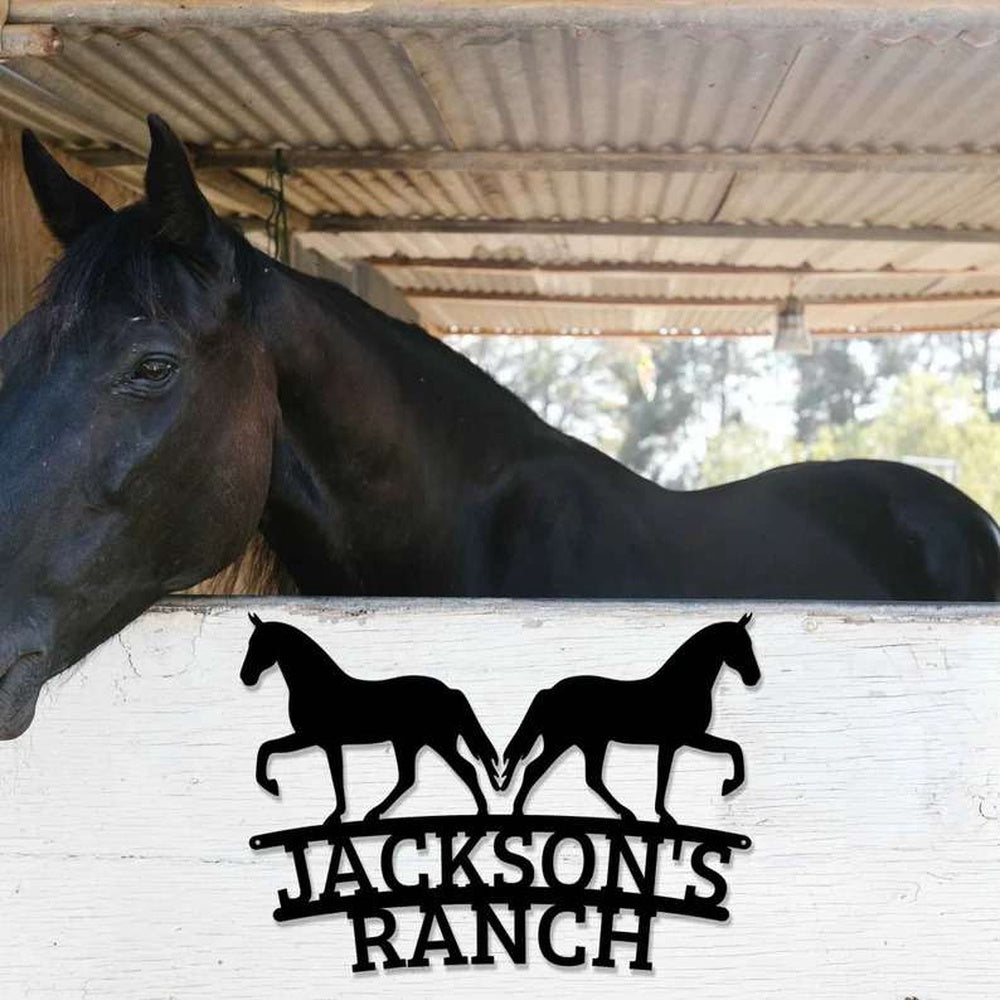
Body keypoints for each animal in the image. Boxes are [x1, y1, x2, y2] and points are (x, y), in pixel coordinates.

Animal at [239, 614, 500, 821]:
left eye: (259, 643)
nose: (246, 677)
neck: (319, 686)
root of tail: (449, 691)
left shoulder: (318, 739)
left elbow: (329, 774)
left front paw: (274, 788)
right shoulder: (320, 741)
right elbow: (269, 748)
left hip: (432, 742)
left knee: (462, 770)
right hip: (414, 743)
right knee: (411, 778)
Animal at [499, 614, 760, 825]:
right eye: (741, 644)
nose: (754, 677)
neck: (682, 685)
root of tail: (550, 691)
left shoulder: (677, 742)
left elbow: (726, 750)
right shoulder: (683, 738)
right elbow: (729, 750)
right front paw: (727, 786)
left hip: (584, 743)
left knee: (587, 778)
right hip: (568, 742)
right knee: (539, 771)